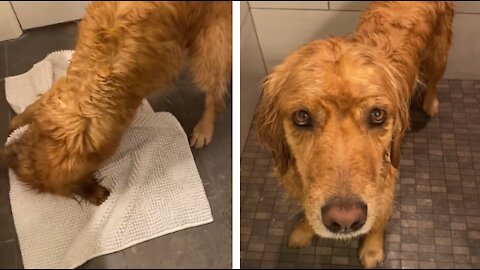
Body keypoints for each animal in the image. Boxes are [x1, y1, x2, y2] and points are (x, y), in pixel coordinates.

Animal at [256, 1, 452, 268]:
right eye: (302, 116)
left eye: (377, 115)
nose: (345, 220)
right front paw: (304, 230)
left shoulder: (385, 180)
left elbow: (379, 218)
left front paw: (372, 249)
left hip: (437, 55)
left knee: (433, 80)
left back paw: (431, 102)